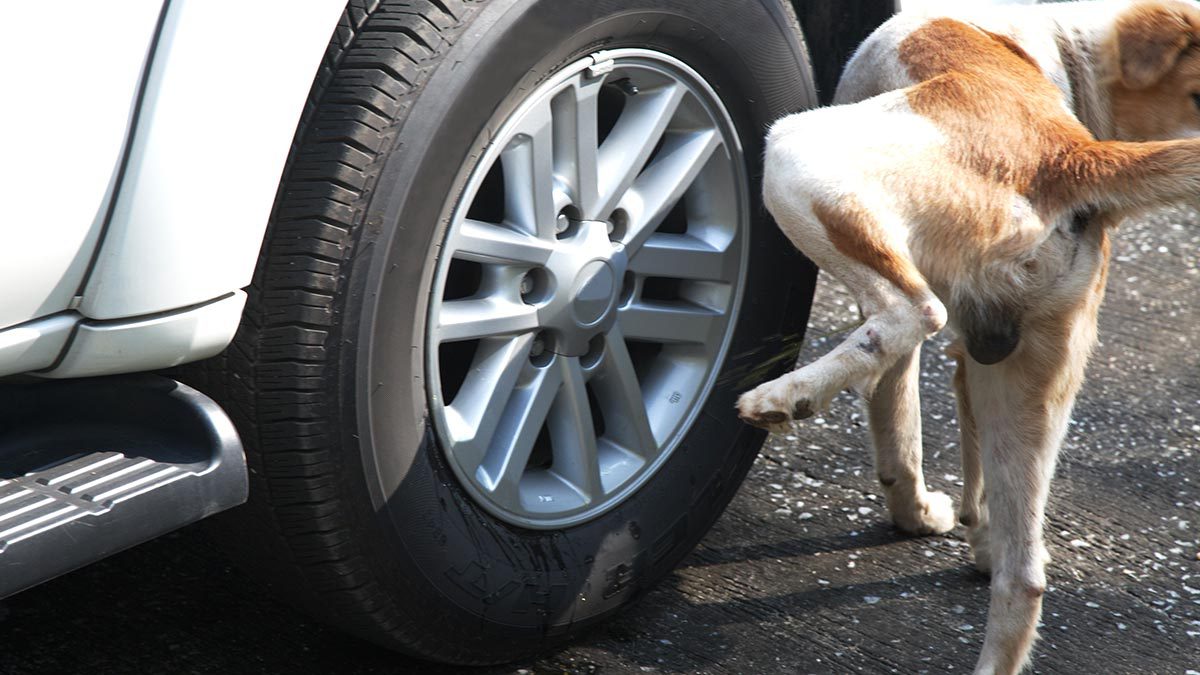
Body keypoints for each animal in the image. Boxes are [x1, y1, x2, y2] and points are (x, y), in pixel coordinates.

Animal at [734, 0, 1200, 667]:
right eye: (1196, 95)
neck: (1063, 44)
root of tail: (1068, 156)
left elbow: (898, 427)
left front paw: (917, 514)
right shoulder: (983, 361)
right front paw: (975, 537)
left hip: (797, 152)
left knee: (911, 313)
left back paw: (786, 396)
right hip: (1031, 387)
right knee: (1025, 576)